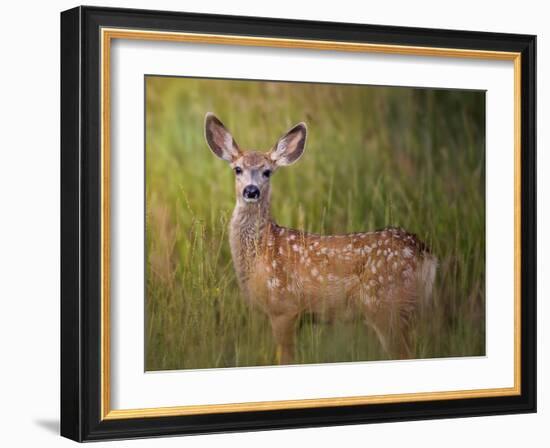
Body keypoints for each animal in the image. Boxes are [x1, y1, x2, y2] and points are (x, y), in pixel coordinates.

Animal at [205, 112, 438, 364]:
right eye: (237, 169)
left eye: (267, 171)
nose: (251, 191)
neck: (261, 251)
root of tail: (425, 253)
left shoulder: (283, 307)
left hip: (386, 305)